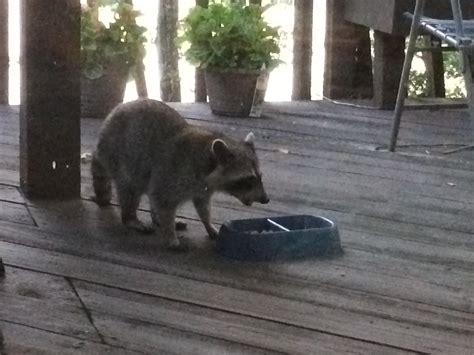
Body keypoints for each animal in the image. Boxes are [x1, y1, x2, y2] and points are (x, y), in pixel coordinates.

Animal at [91, 98, 270, 252]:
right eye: (248, 179)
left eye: (260, 177)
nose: (265, 199)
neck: (208, 160)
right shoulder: (174, 171)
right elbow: (162, 199)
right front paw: (171, 235)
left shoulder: (202, 189)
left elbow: (202, 206)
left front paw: (208, 224)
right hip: (120, 156)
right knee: (131, 189)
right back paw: (131, 218)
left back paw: (156, 218)